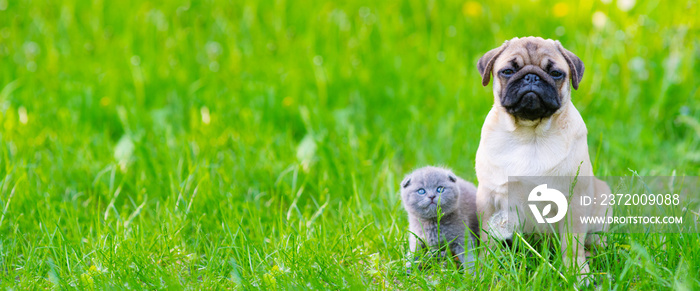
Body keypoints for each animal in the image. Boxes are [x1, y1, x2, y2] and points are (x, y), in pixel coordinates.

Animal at [474, 36, 608, 282]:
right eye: (508, 71)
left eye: (555, 73)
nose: (531, 77)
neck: (530, 134)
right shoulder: (488, 199)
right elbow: (488, 241)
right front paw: (486, 269)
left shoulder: (574, 202)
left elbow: (572, 245)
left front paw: (577, 273)